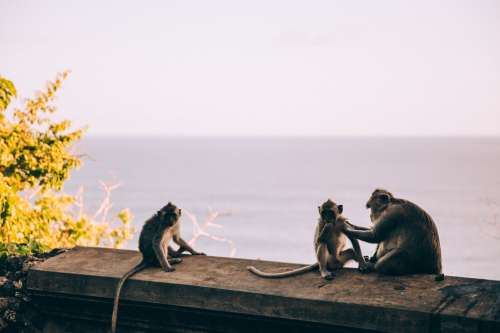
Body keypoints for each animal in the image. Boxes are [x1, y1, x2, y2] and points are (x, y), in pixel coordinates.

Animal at [112, 201, 206, 332]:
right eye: (167, 216)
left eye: (173, 215)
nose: (171, 220)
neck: (168, 225)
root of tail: (145, 257)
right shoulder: (162, 227)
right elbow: (156, 243)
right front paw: (167, 267)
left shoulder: (176, 225)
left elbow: (177, 238)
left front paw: (195, 252)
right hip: (153, 255)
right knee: (162, 245)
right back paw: (168, 261)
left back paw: (176, 254)